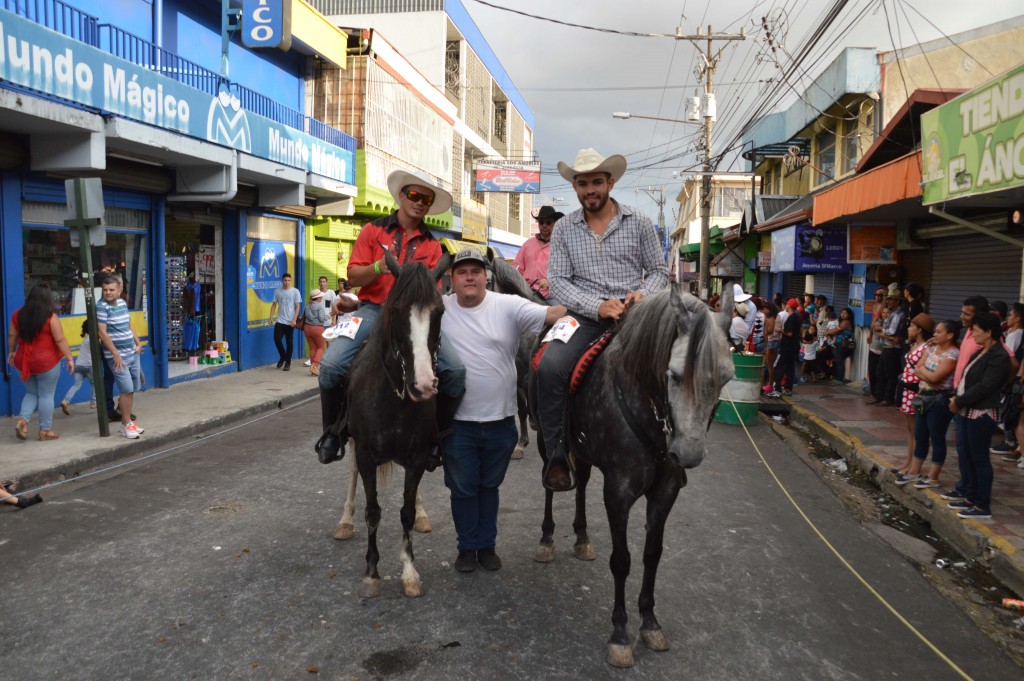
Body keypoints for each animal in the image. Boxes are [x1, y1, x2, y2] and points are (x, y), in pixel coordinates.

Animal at [344, 249, 448, 593]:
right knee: (352, 476)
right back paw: (344, 520)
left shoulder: (417, 457)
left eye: (440, 311)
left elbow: (405, 511)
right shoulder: (366, 454)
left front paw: (409, 571)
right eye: (398, 310)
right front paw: (372, 571)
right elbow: (373, 510)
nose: (424, 385)